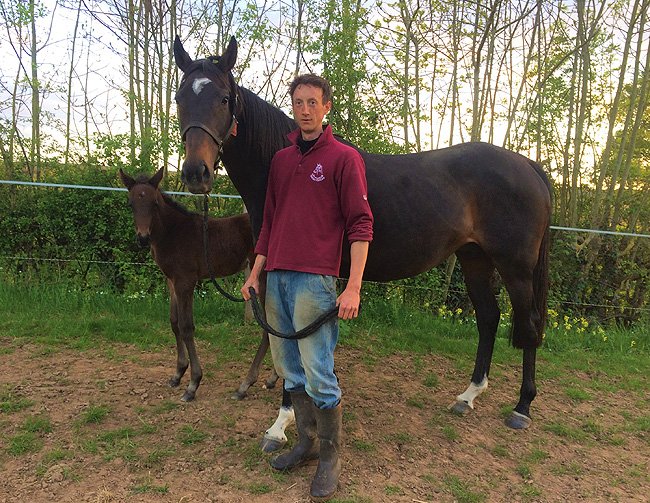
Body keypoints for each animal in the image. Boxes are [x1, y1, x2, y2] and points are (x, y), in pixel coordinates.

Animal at [118, 167, 282, 404]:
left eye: (154, 203)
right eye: (131, 203)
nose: (142, 238)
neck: (173, 232)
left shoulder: (186, 281)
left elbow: (187, 327)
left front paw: (193, 383)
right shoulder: (172, 282)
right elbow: (174, 323)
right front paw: (178, 374)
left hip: (261, 278)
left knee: (269, 326)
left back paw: (245, 385)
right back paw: (272, 378)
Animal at [172, 36, 552, 431]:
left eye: (223, 99)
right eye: (180, 98)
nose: (196, 173)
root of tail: (529, 165)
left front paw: (284, 418)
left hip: (516, 268)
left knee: (528, 325)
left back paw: (522, 407)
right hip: (474, 257)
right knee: (489, 318)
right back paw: (469, 395)